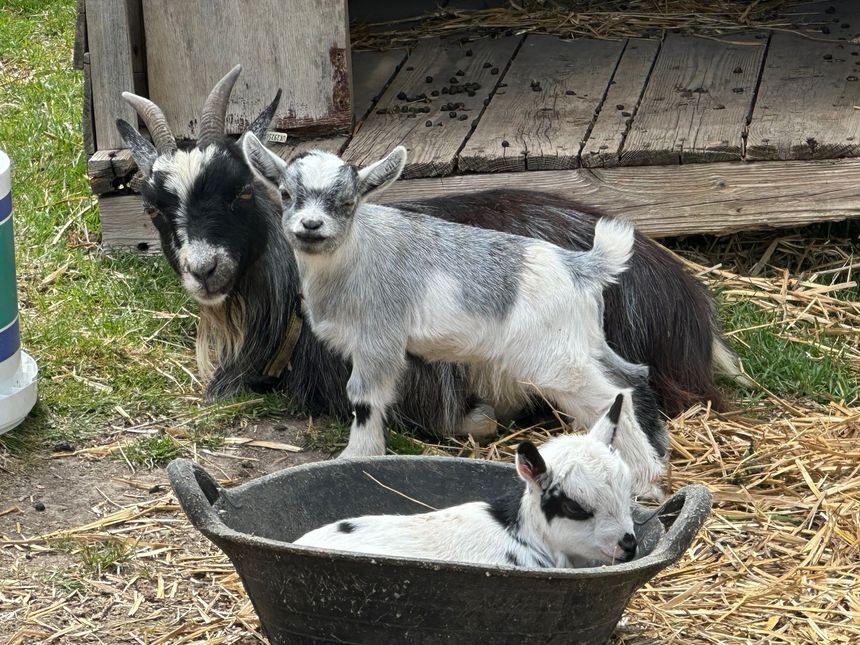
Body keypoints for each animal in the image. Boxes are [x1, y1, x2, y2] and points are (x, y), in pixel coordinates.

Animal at [242, 136, 669, 499]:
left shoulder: (379, 339)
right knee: (632, 378)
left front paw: (357, 455)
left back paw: (643, 480)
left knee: (609, 396)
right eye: (285, 194)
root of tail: (580, 266)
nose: (310, 226)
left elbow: (364, 398)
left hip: (555, 358)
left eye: (348, 203)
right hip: (587, 342)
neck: (356, 253)